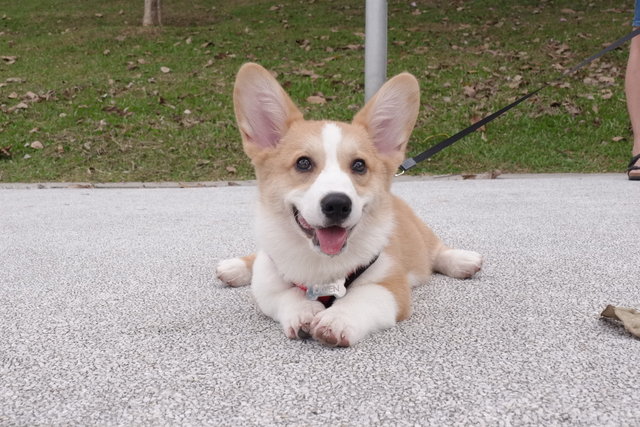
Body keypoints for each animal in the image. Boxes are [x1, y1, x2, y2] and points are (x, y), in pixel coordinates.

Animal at [215, 65, 480, 350]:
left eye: (359, 165)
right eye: (303, 163)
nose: (337, 204)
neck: (322, 264)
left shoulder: (391, 286)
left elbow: (363, 298)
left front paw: (337, 320)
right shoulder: (267, 283)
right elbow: (287, 295)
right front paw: (304, 312)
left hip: (419, 235)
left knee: (435, 251)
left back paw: (463, 261)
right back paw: (234, 267)